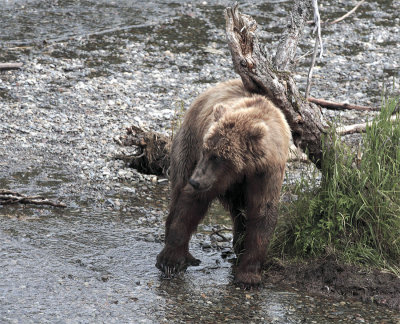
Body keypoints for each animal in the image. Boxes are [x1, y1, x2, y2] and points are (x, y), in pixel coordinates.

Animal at [156, 79, 290, 288]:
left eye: (218, 156)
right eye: (206, 150)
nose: (195, 181)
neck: (244, 168)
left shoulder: (266, 174)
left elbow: (262, 213)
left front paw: (249, 274)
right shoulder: (212, 176)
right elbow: (191, 203)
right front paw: (170, 261)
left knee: (239, 213)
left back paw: (239, 246)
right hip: (188, 143)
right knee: (178, 190)